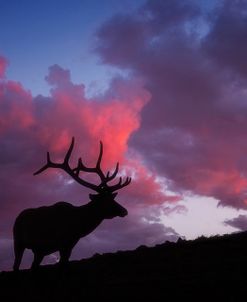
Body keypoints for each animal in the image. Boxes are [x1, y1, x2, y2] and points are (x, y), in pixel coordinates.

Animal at [13, 138, 131, 270]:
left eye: (112, 198)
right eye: (105, 200)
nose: (124, 211)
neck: (77, 227)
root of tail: (18, 217)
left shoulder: (69, 245)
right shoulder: (60, 243)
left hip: (38, 251)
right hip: (18, 241)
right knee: (16, 265)